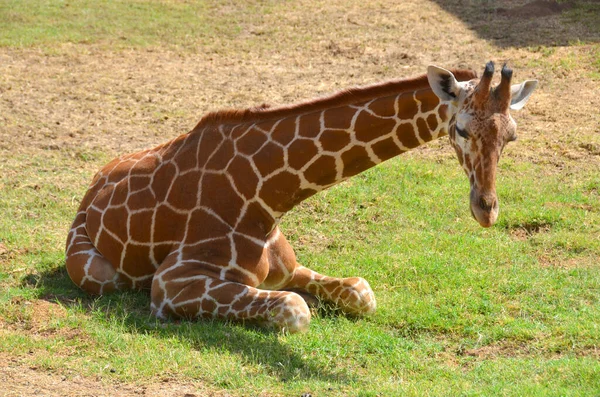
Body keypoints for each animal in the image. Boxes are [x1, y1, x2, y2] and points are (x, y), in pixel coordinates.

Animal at [67, 62, 540, 332]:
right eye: (460, 129)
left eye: (512, 136)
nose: (486, 209)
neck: (263, 197)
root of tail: (93, 183)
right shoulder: (171, 282)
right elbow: (296, 310)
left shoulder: (286, 268)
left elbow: (360, 293)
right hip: (96, 271)